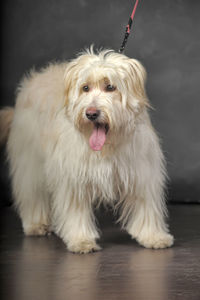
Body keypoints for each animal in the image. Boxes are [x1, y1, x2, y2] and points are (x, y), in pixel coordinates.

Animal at [0, 47, 173, 253]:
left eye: (110, 87)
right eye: (85, 88)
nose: (91, 113)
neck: (107, 147)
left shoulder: (142, 173)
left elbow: (146, 207)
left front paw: (153, 236)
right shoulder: (74, 179)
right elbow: (75, 212)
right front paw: (81, 240)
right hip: (31, 162)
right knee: (33, 194)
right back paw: (36, 223)